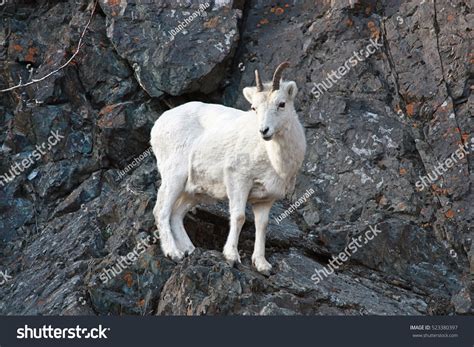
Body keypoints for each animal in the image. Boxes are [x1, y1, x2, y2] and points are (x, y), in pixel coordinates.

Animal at [152, 62, 308, 274]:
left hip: (195, 192)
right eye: (254, 107)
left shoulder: (266, 199)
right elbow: (239, 217)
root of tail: (159, 124)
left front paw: (262, 265)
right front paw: (232, 257)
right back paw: (173, 253)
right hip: (174, 177)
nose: (264, 131)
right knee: (161, 211)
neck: (274, 160)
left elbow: (262, 226)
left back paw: (189, 250)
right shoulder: (238, 180)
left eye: (281, 104)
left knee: (176, 214)